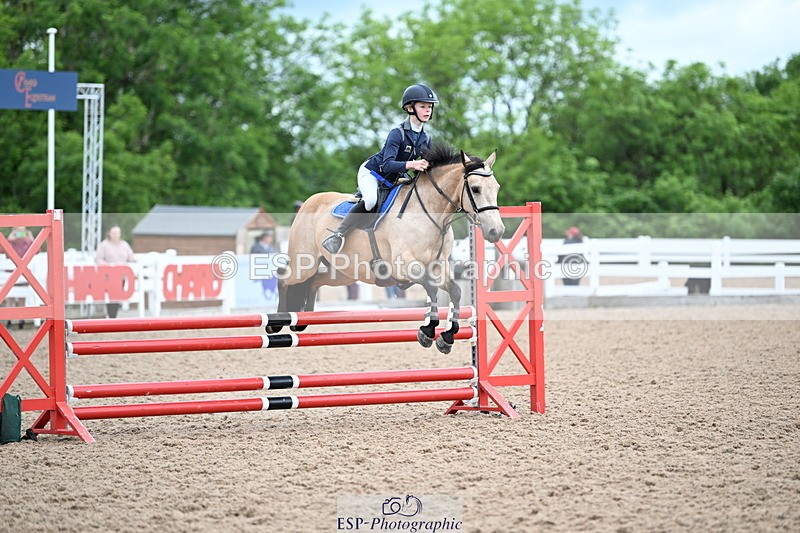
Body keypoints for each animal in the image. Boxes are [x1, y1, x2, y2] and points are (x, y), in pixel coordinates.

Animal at [269, 141, 505, 354]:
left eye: (497, 188)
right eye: (475, 189)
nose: (497, 231)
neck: (430, 214)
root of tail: (309, 202)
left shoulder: (438, 266)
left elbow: (454, 291)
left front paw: (446, 338)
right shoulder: (404, 264)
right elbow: (430, 288)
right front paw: (427, 331)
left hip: (344, 273)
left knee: (314, 282)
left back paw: (302, 320)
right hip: (304, 263)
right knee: (285, 277)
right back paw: (277, 322)